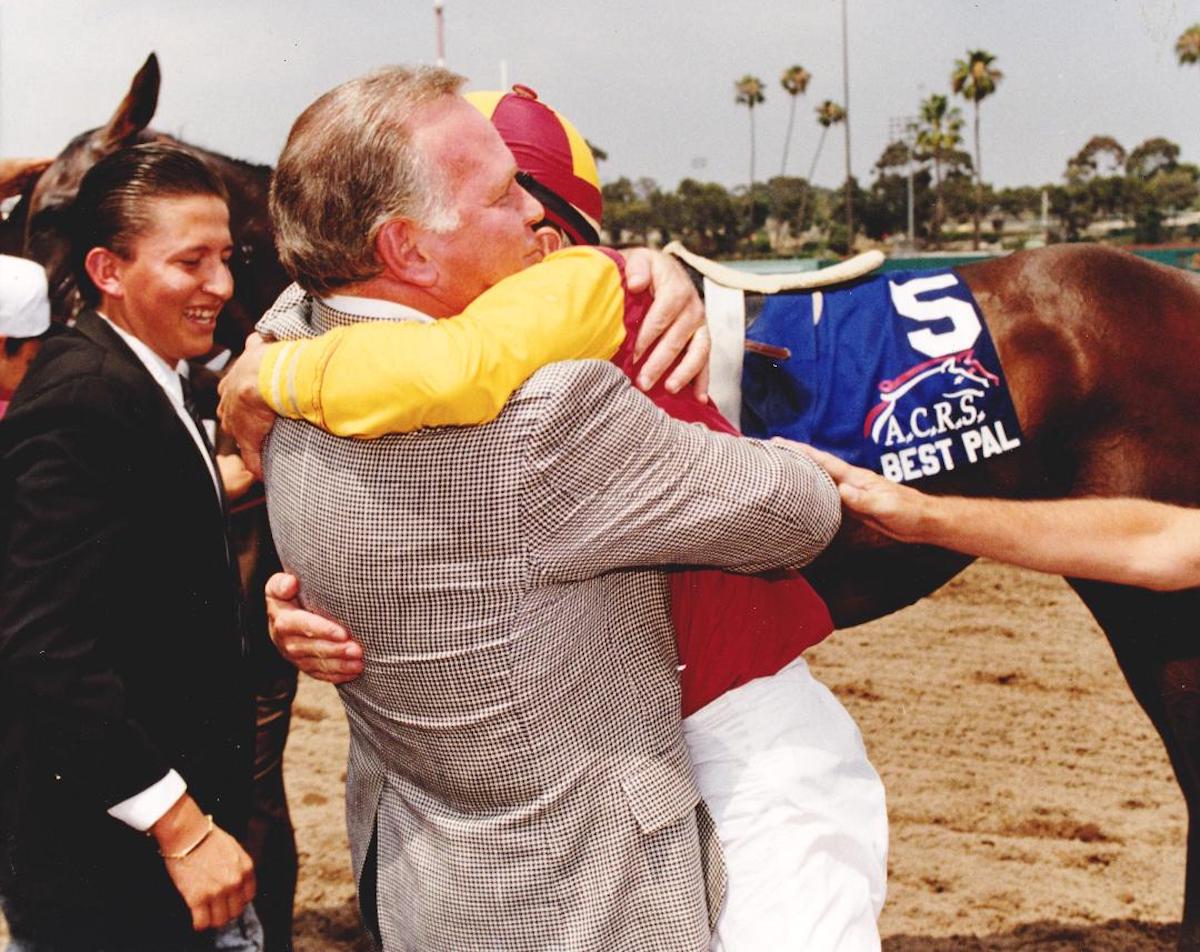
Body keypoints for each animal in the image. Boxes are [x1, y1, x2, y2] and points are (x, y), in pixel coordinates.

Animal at [14, 53, 1200, 950]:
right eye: (24, 214)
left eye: (63, 216)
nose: (27, 383)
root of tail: (1170, 285)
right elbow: (263, 820)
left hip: (1156, 599)